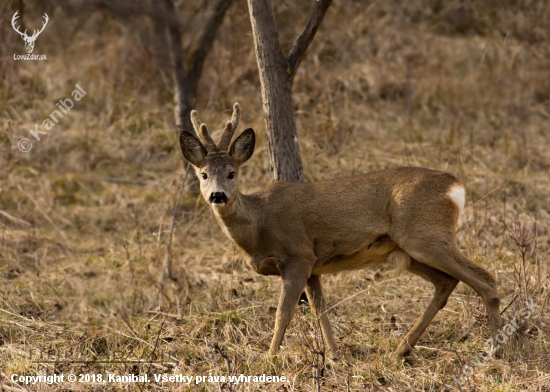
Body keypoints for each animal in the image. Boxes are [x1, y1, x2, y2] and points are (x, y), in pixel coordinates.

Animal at [179, 102, 502, 356]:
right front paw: (335, 354)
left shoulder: (298, 255)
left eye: (232, 173)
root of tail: (454, 187)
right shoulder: (313, 266)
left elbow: (284, 312)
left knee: (485, 278)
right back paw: (401, 350)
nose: (217, 195)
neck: (258, 225)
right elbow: (320, 309)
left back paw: (498, 350)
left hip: (426, 236)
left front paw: (269, 358)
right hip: (406, 251)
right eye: (203, 174)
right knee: (446, 283)